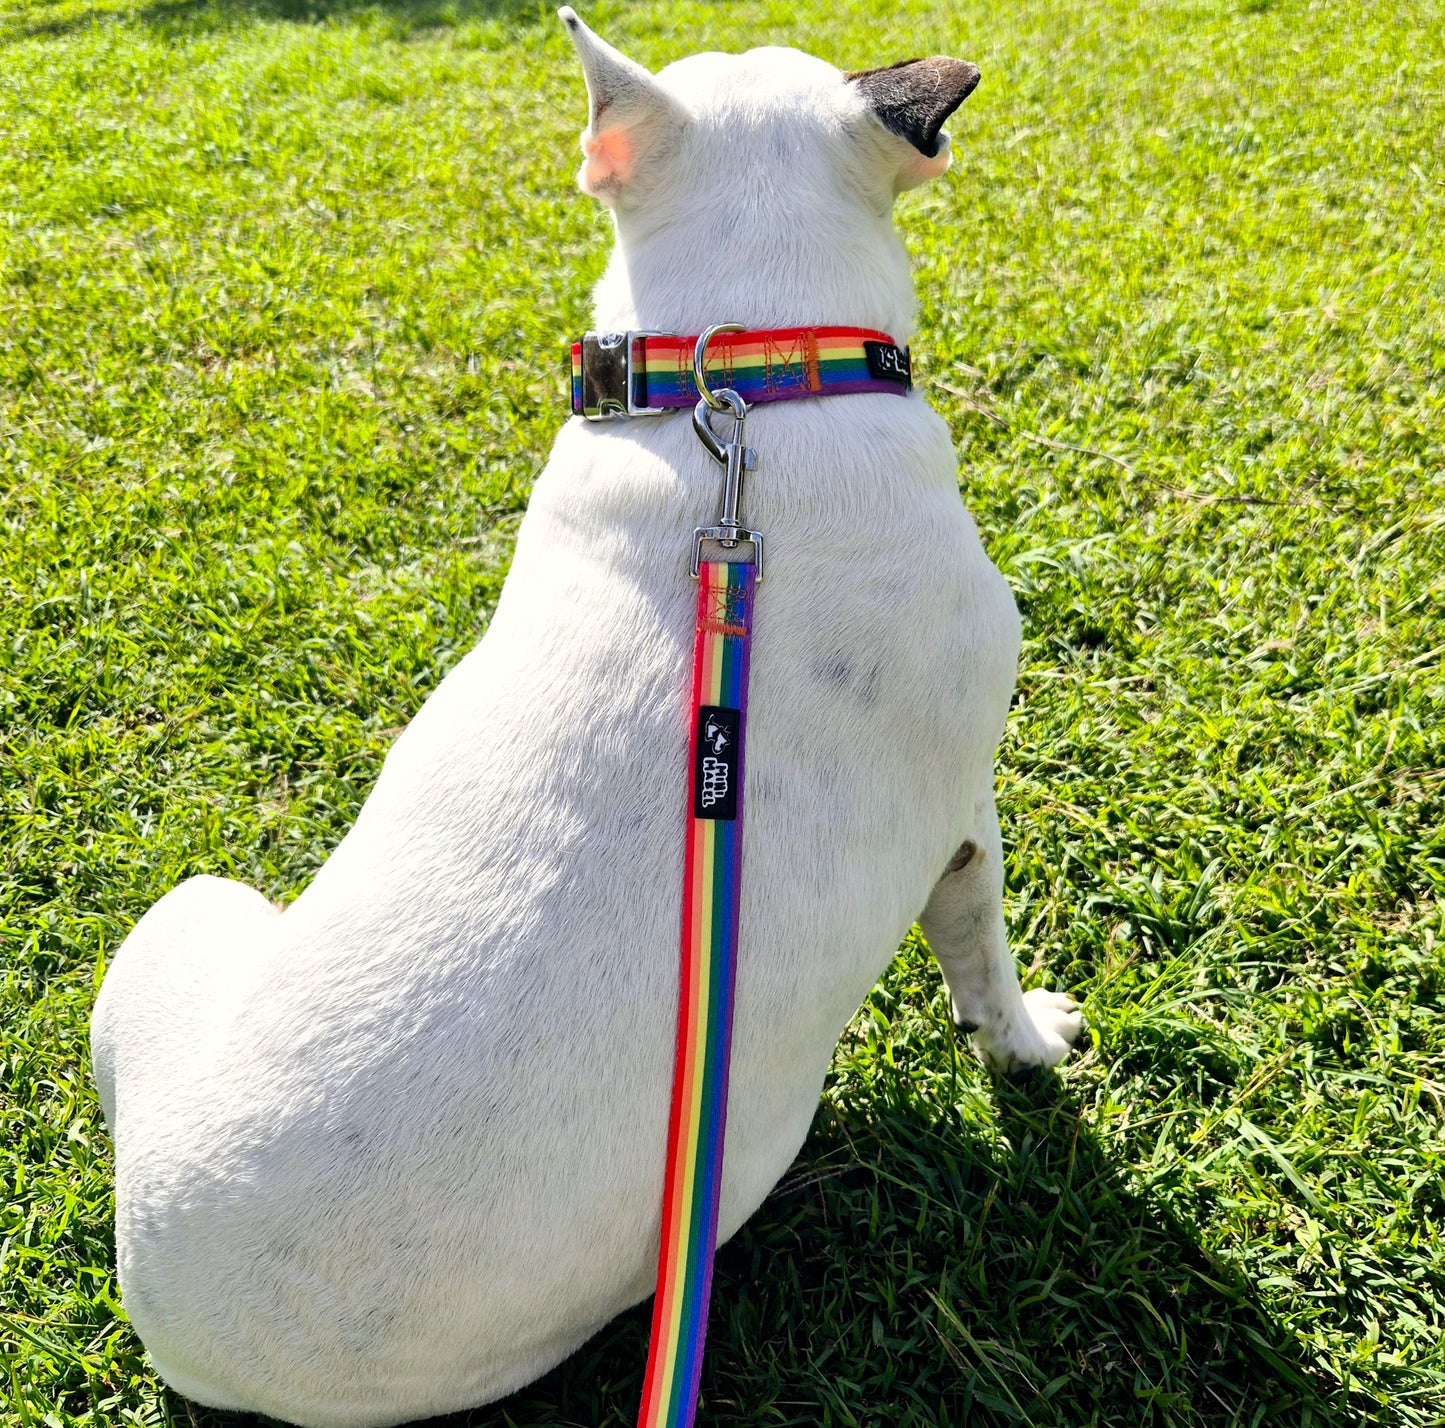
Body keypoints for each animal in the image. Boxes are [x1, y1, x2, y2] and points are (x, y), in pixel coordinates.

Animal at [90, 13, 1080, 1428]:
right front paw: (1026, 1044)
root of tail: (172, 1317)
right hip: (201, 911)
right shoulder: (964, 821)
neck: (748, 391)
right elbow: (981, 956)